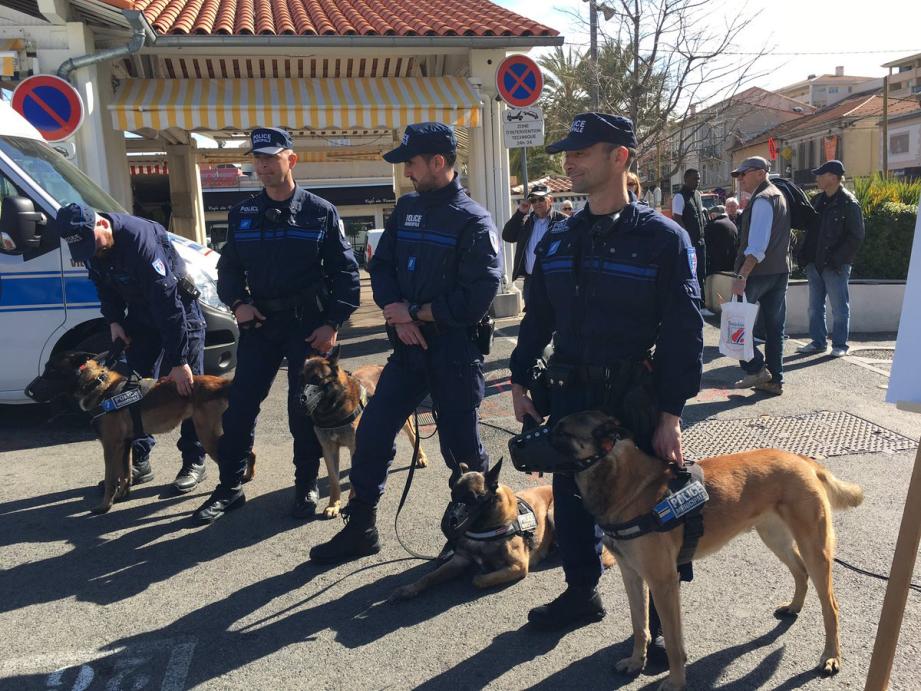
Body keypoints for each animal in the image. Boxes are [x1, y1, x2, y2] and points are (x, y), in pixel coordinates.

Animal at [28, 352, 253, 512]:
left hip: (207, 435)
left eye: (51, 370)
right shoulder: (125, 444)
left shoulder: (110, 446)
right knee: (248, 452)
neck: (99, 386)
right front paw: (122, 495)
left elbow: (111, 478)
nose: (29, 390)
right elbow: (125, 472)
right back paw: (247, 476)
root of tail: (222, 382)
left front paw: (104, 506)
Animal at [302, 346, 432, 520]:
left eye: (317, 379)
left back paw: (420, 457)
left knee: (413, 438)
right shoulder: (329, 450)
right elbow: (334, 480)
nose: (301, 399)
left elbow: (354, 476)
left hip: (403, 420)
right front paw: (333, 505)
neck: (333, 410)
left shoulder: (355, 447)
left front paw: (352, 500)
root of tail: (381, 366)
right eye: (301, 379)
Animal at [548, 410, 868, 691]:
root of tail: (802, 459)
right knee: (800, 572)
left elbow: (673, 642)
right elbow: (640, 626)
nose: (525, 441)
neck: (625, 484)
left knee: (831, 605)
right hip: (774, 538)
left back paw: (831, 656)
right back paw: (794, 607)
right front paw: (636, 662)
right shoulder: (632, 575)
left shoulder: (663, 583)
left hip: (815, 549)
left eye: (562, 433)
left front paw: (676, 682)